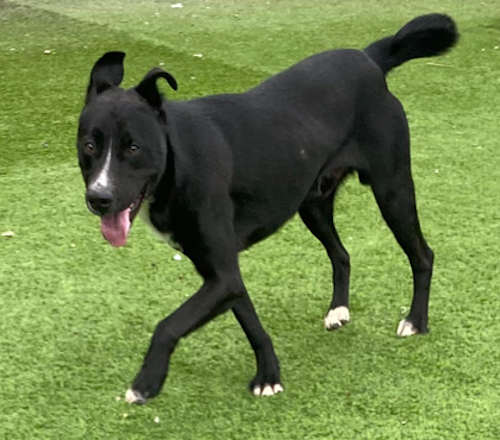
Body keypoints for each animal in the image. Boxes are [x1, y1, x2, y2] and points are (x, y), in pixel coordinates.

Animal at [77, 14, 458, 403]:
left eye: (133, 147)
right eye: (89, 145)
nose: (99, 198)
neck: (177, 159)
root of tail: (369, 58)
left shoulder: (221, 275)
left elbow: (168, 324)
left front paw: (146, 382)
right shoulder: (222, 273)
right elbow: (251, 323)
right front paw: (269, 375)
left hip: (392, 191)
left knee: (422, 255)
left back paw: (416, 321)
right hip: (313, 204)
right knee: (341, 254)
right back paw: (338, 310)